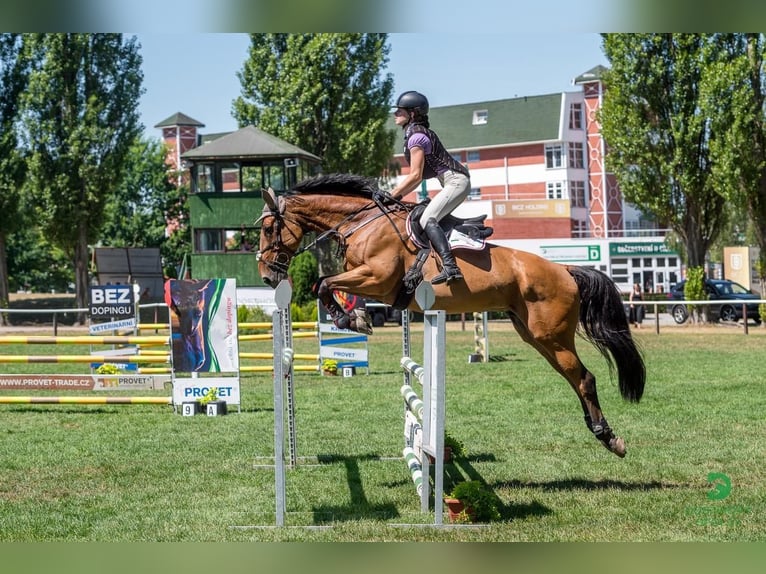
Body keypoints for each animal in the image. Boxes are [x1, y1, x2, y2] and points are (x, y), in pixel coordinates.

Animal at [256, 173, 645, 457]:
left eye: (267, 228)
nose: (267, 276)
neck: (363, 221)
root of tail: (564, 269)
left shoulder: (377, 278)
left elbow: (323, 283)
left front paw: (349, 319)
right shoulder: (371, 282)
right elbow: (329, 286)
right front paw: (357, 318)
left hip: (551, 335)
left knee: (585, 378)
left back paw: (610, 438)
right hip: (536, 336)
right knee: (574, 378)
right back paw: (600, 431)